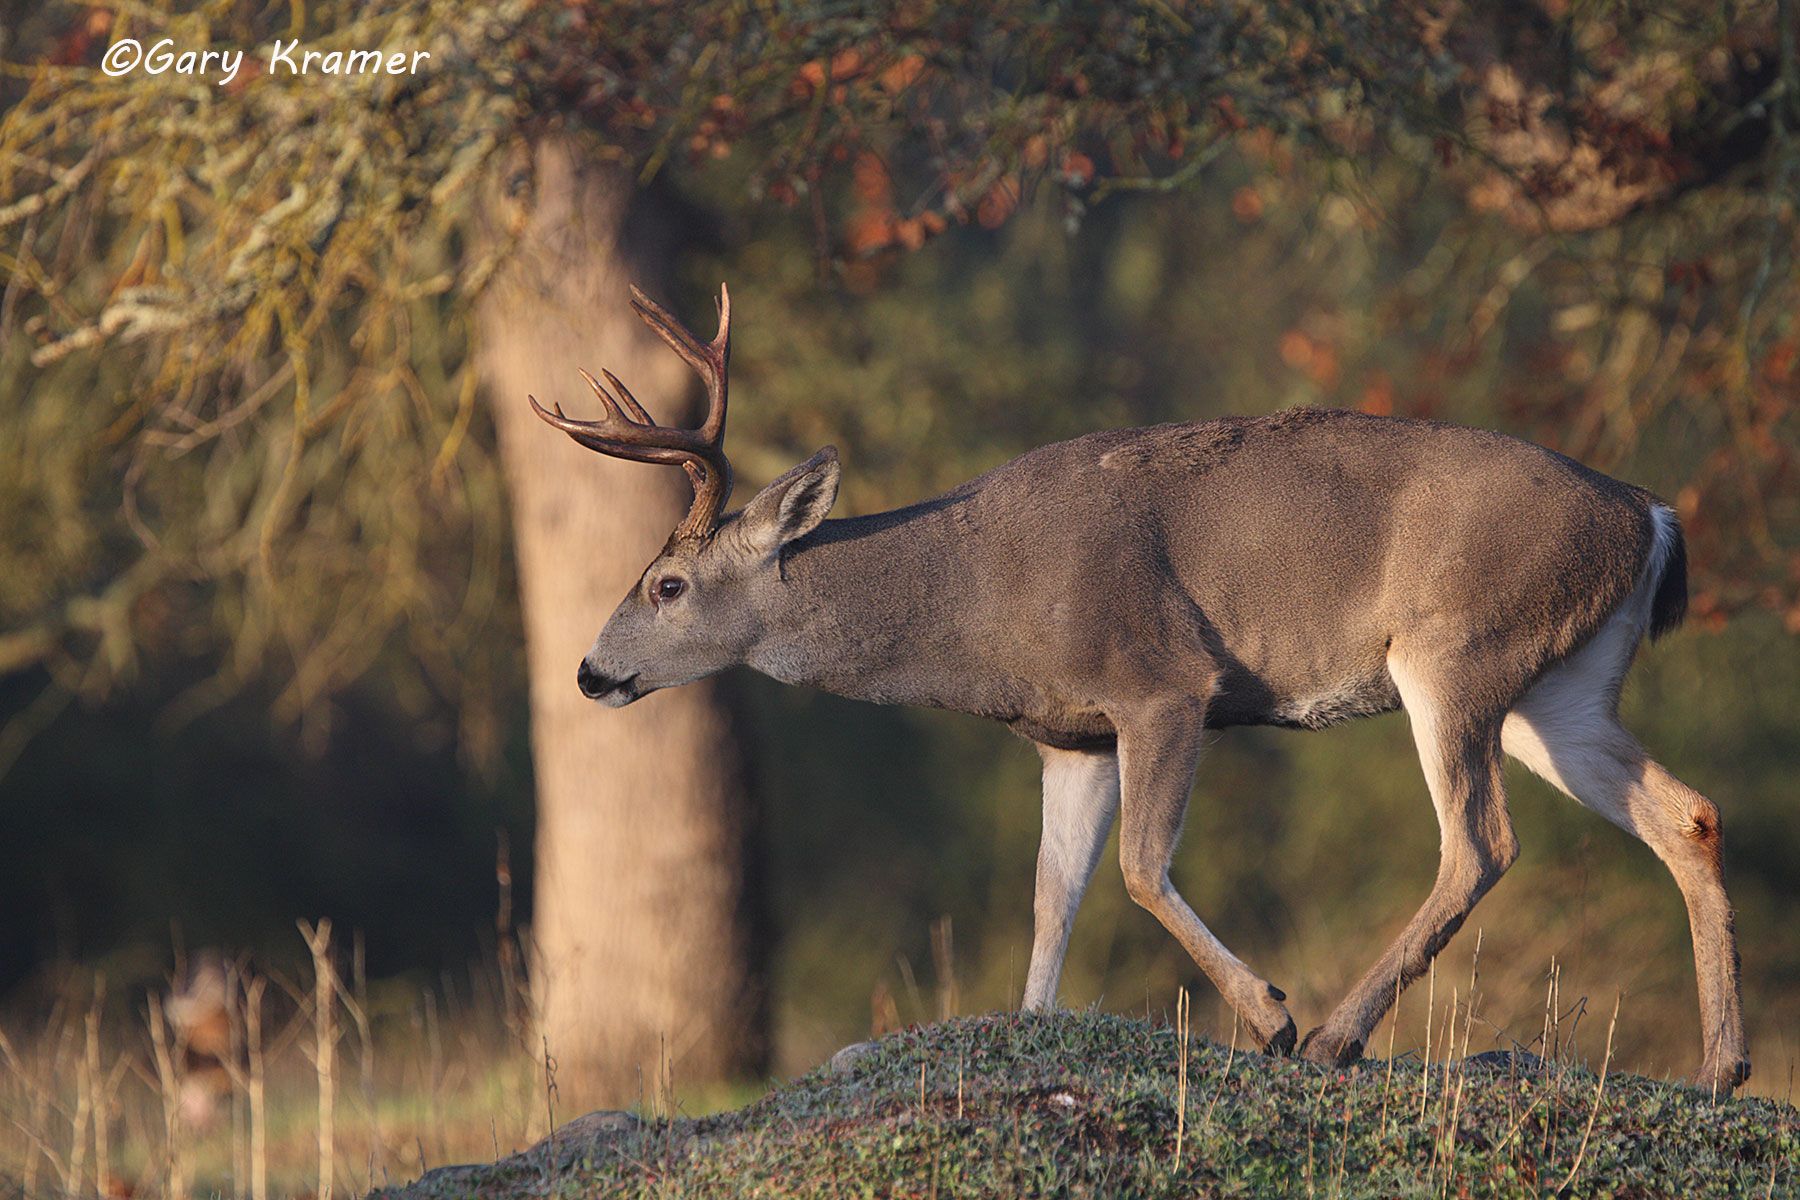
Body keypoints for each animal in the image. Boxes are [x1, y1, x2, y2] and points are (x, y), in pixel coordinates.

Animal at [528, 283, 1750, 1093]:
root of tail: (1649, 511)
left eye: (667, 583)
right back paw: (1722, 1068)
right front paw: (1029, 1028)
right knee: (1686, 811)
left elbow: (1135, 866)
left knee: (1480, 843)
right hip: (1560, 685)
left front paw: (1268, 1016)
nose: (589, 671)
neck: (983, 602)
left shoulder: (1163, 681)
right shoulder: (1068, 736)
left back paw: (1338, 1035)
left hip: (1456, 650)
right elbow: (1051, 894)